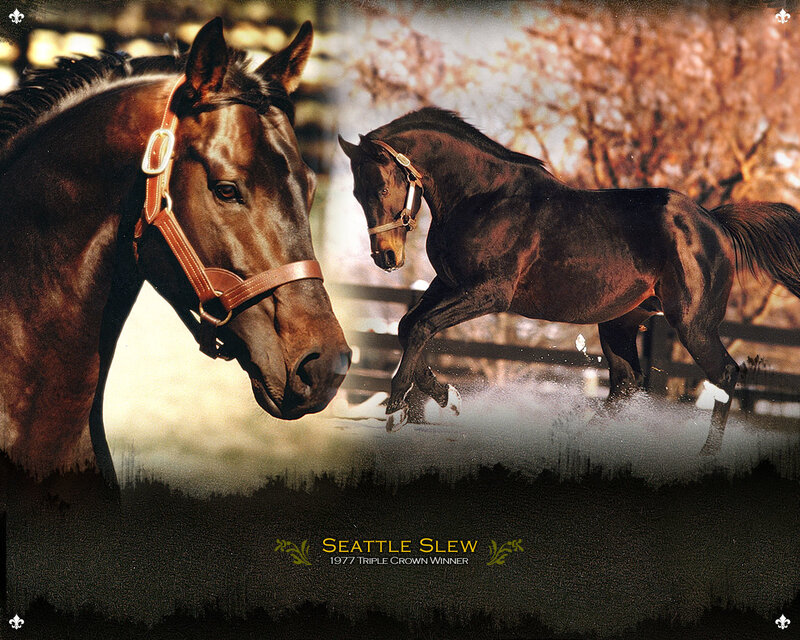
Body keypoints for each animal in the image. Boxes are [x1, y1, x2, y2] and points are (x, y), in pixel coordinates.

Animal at [339, 107, 800, 454]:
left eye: (382, 186)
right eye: (357, 192)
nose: (387, 258)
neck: (482, 196)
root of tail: (714, 223)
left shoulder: (489, 293)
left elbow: (421, 326)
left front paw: (400, 402)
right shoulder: (449, 283)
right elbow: (407, 326)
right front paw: (442, 394)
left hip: (692, 324)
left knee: (725, 375)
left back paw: (706, 455)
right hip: (620, 322)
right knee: (626, 385)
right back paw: (578, 440)